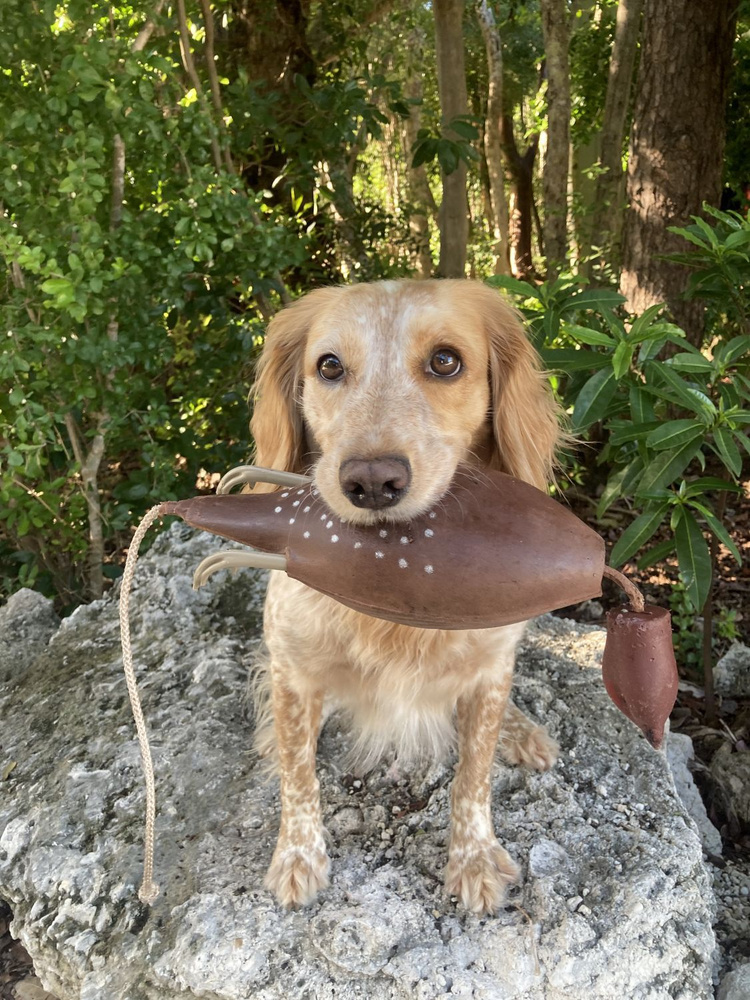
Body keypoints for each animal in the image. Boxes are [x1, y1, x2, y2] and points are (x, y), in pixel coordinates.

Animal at [250, 276, 560, 916]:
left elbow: (473, 777)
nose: (371, 482)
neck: (397, 579)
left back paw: (523, 732)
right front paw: (297, 857)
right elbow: (299, 776)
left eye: (446, 361)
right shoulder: (291, 667)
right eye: (329, 366)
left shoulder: (490, 668)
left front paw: (474, 859)